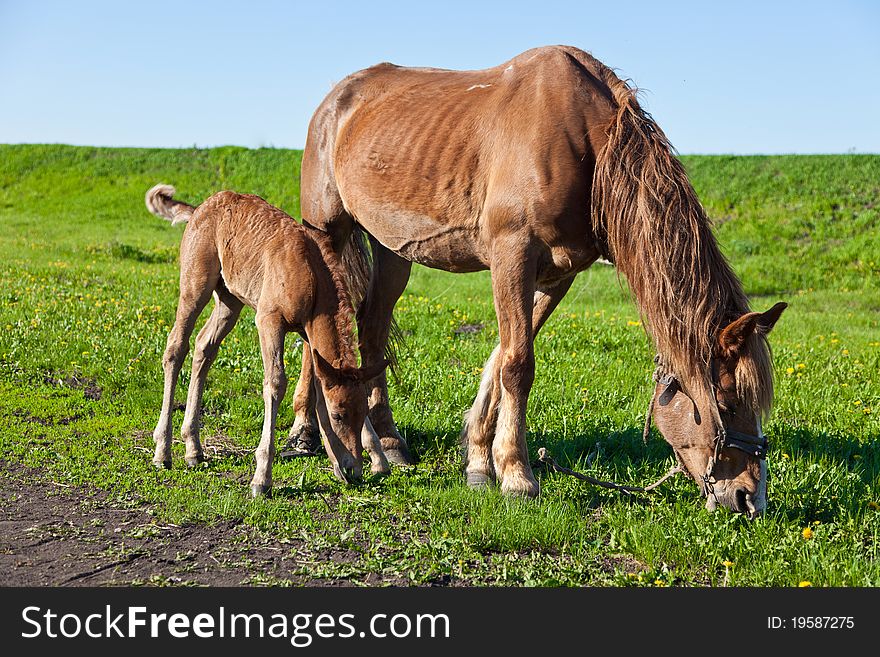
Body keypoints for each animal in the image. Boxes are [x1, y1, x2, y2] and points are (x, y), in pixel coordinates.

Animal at [147, 182, 388, 494]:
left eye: (362, 413)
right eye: (338, 415)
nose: (353, 470)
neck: (311, 274)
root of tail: (199, 208)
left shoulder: (309, 335)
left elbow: (318, 385)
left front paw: (374, 459)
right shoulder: (268, 321)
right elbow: (275, 384)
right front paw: (262, 478)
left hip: (229, 300)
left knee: (204, 346)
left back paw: (193, 449)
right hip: (195, 285)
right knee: (176, 346)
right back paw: (162, 451)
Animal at [292, 47, 788, 516]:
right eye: (727, 403)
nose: (750, 499)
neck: (588, 146)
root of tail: (336, 100)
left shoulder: (556, 274)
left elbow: (502, 356)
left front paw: (479, 459)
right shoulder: (512, 254)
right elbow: (517, 364)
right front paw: (517, 476)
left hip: (392, 251)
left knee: (371, 329)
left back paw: (389, 441)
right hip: (328, 232)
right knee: (321, 328)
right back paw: (308, 431)